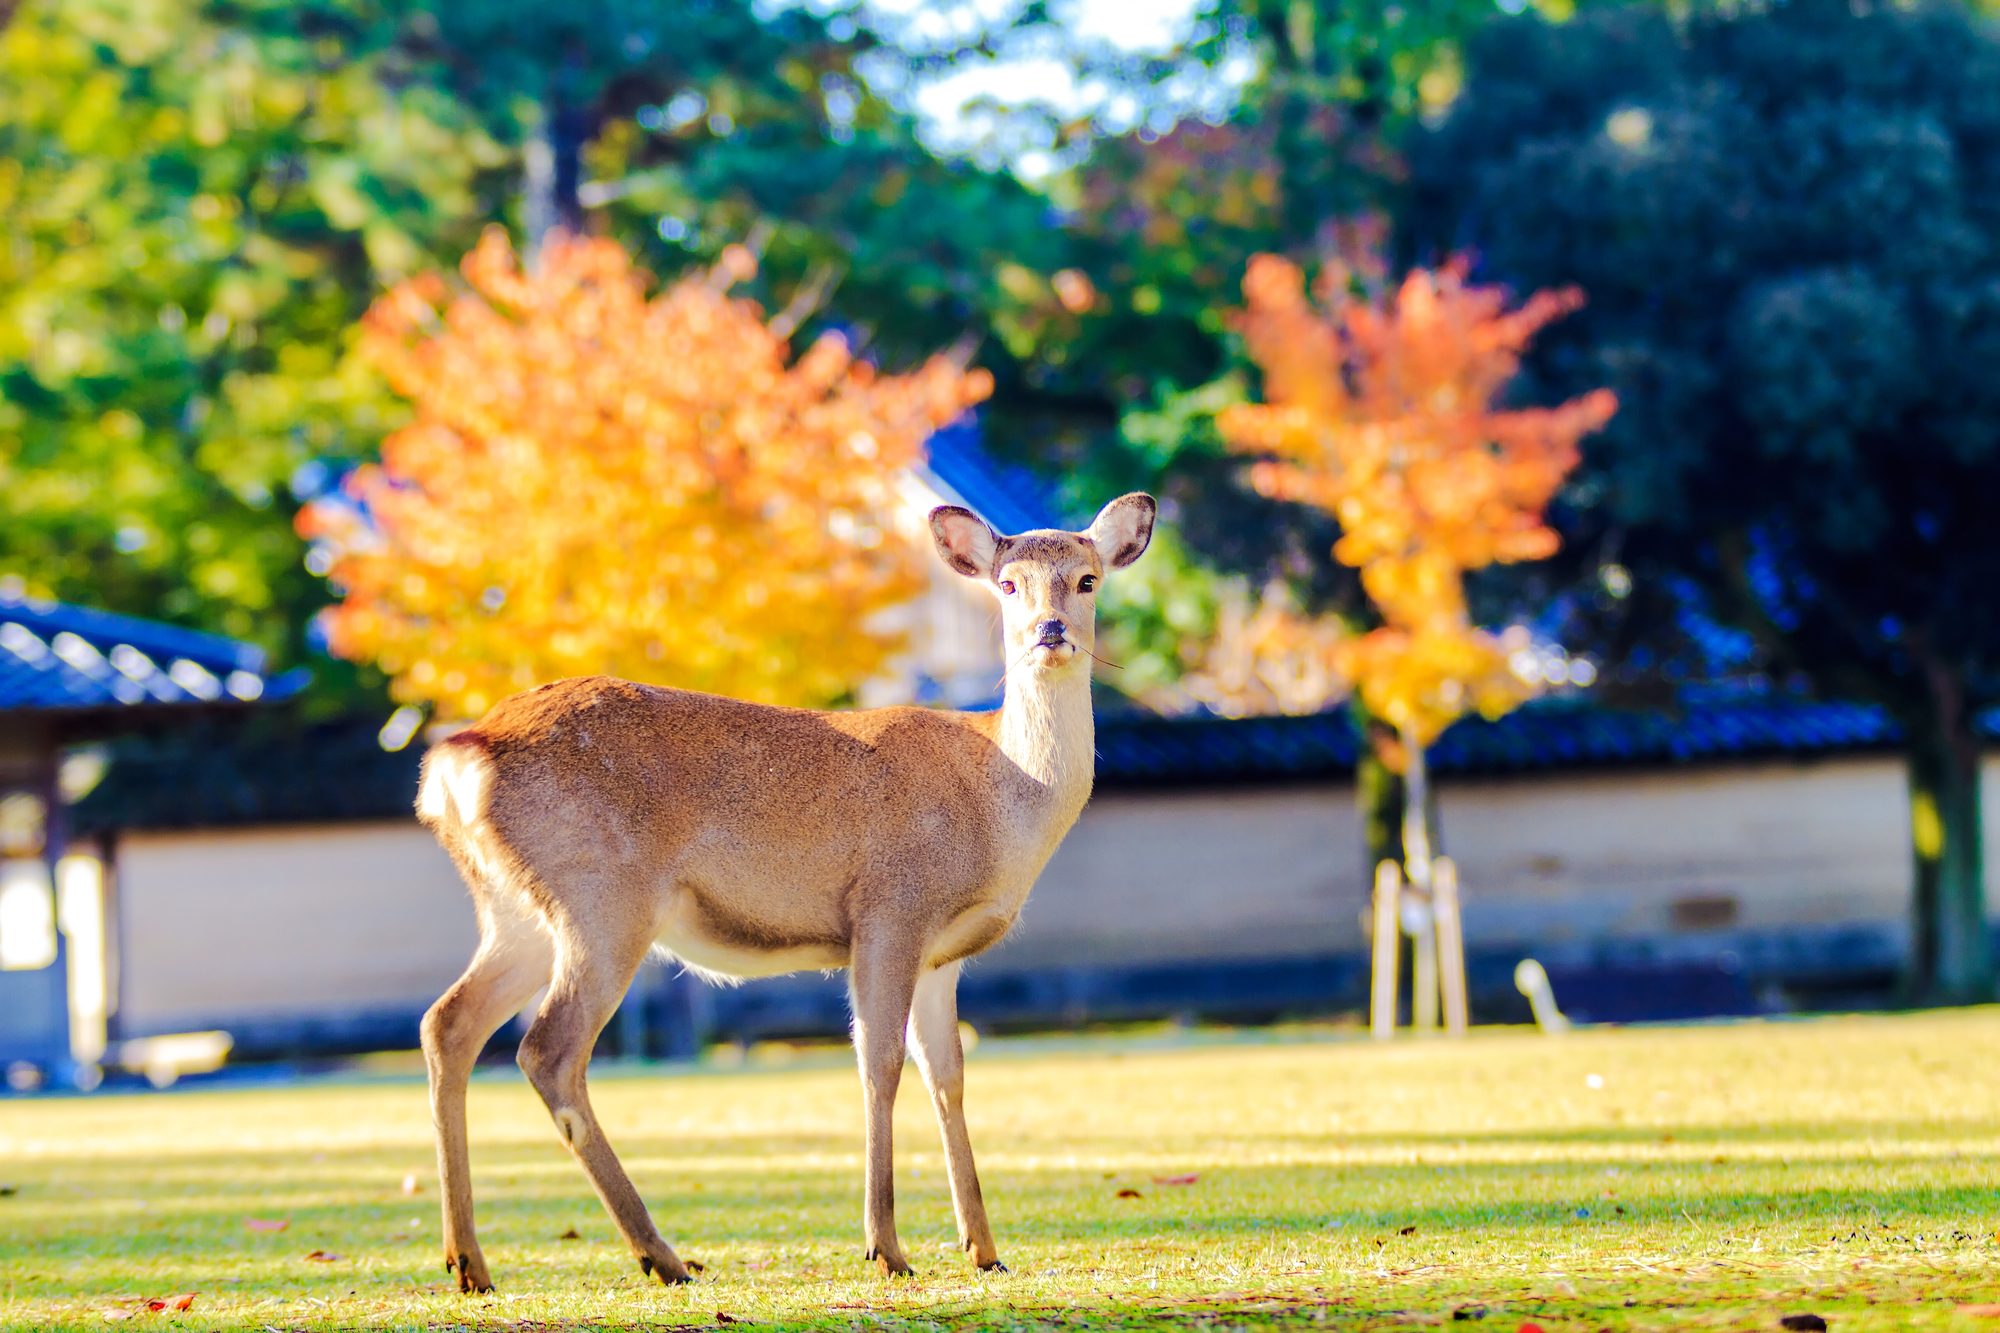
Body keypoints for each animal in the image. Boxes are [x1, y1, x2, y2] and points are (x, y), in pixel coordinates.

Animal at [412, 488, 1160, 1288]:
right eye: (1008, 583)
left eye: (1087, 579)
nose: (1051, 631)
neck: (1001, 801)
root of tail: (456, 762)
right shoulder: (889, 908)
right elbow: (879, 1063)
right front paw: (886, 1249)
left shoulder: (943, 954)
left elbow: (949, 1073)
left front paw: (984, 1250)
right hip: (603, 897)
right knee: (547, 1049)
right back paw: (661, 1256)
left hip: (517, 912)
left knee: (448, 1022)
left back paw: (469, 1262)